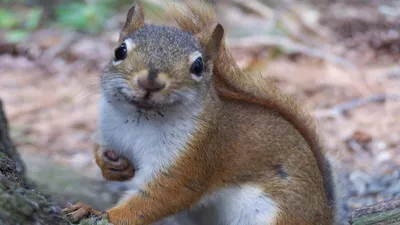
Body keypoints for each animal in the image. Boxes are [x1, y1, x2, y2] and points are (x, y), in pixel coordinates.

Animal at [64, 1, 340, 225]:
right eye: (119, 50)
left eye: (197, 66)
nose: (150, 81)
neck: (141, 118)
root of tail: (324, 216)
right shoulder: (110, 127)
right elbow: (101, 153)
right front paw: (111, 165)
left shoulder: (196, 153)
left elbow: (161, 197)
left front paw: (100, 213)